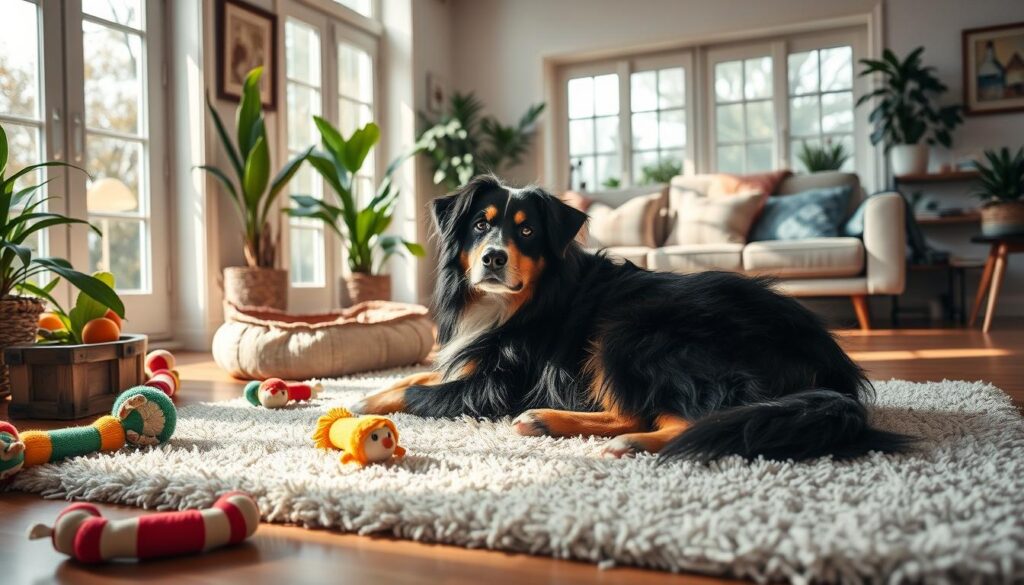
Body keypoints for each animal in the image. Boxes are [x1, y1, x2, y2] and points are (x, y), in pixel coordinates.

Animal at [354, 175, 913, 463]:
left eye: (528, 232)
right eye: (478, 226)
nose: (494, 258)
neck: (513, 303)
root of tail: (829, 364)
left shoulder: (495, 385)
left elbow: (420, 390)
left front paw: (365, 403)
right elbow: (417, 374)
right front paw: (363, 394)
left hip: (633, 329)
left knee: (685, 415)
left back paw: (621, 440)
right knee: (640, 409)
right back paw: (546, 420)